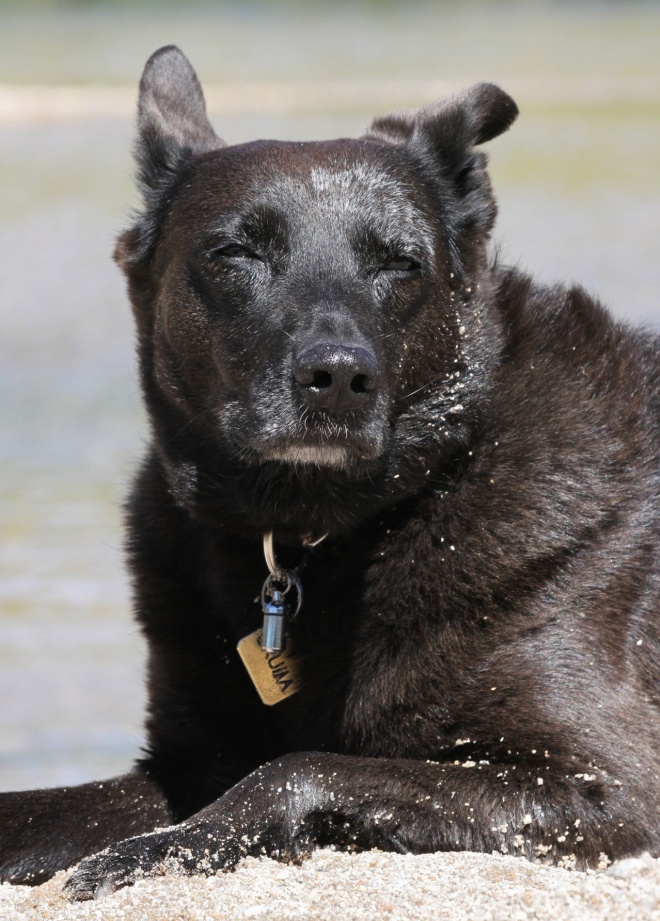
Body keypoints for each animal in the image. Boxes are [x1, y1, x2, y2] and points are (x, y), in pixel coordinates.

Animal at [1, 45, 660, 900]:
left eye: (402, 263)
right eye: (235, 252)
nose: (339, 377)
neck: (314, 530)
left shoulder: (597, 783)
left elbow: (299, 767)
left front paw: (158, 850)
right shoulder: (192, 757)